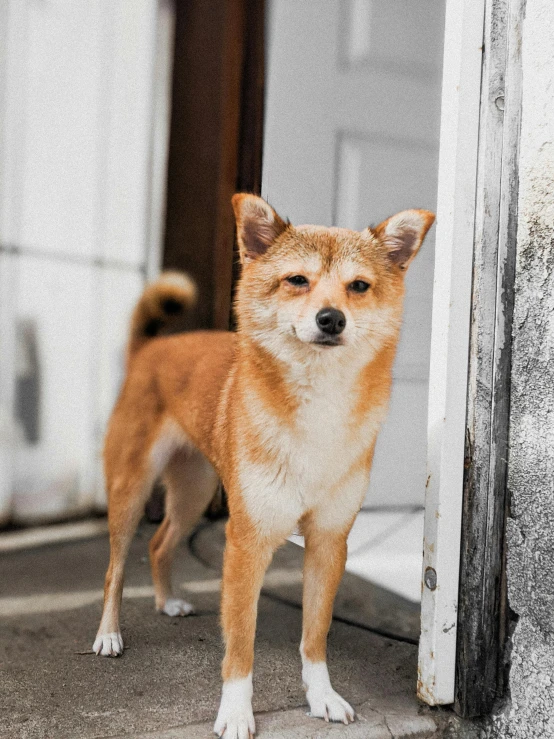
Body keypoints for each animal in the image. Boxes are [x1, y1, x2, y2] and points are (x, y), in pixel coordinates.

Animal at [92, 195, 434, 739]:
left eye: (359, 286)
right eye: (297, 280)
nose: (331, 318)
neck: (318, 406)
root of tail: (151, 350)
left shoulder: (328, 542)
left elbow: (315, 636)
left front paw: (322, 697)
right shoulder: (246, 541)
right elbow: (240, 643)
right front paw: (235, 712)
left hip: (193, 494)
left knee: (160, 543)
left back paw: (167, 601)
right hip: (129, 488)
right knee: (116, 568)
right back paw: (108, 635)